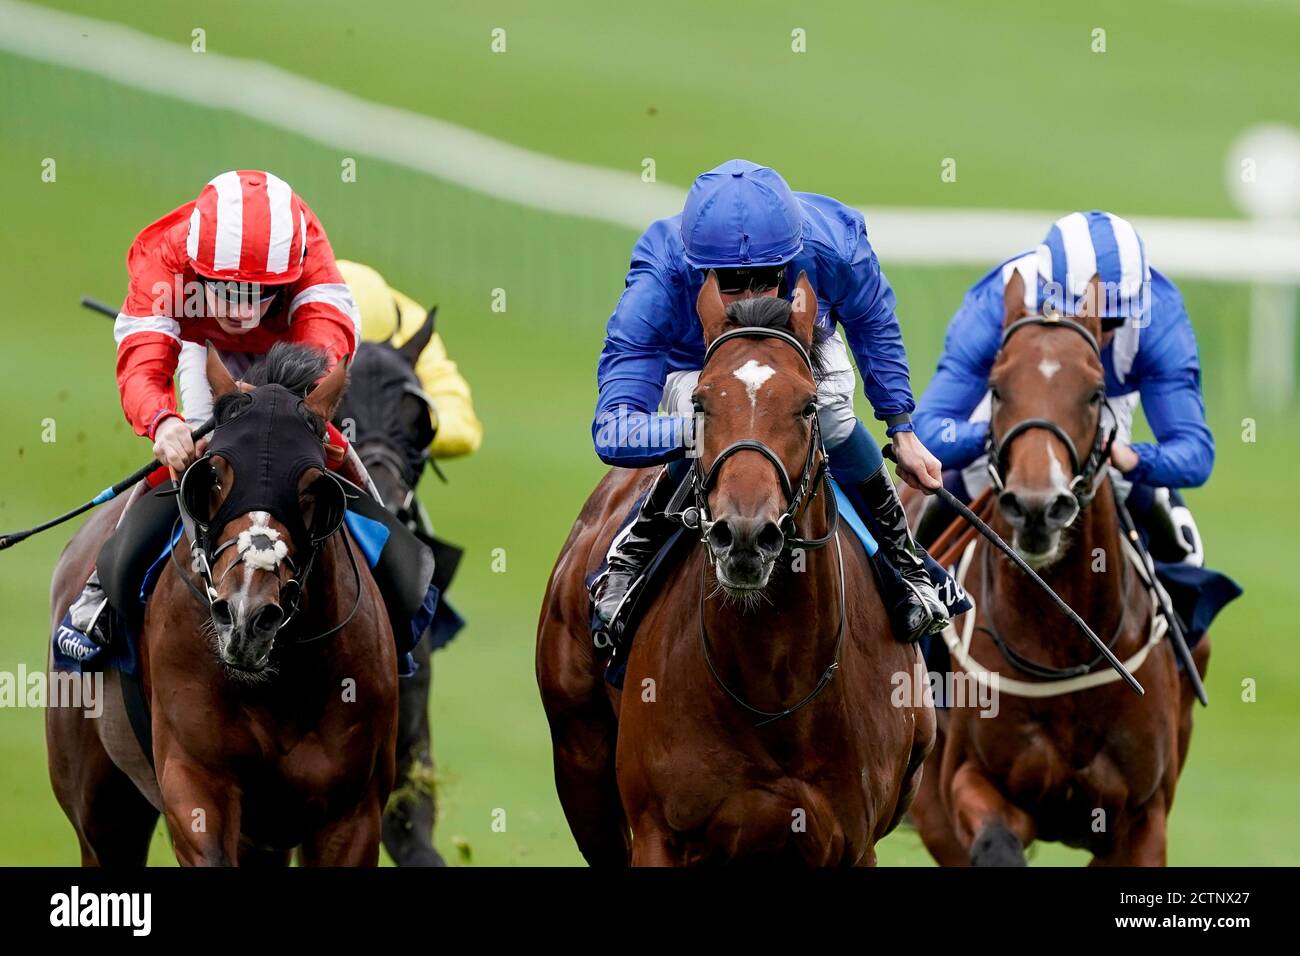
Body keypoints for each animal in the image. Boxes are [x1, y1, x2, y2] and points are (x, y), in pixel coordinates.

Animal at [48, 348, 395, 868]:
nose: (247, 617)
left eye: (314, 486)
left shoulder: (352, 814)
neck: (279, 688)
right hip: (102, 811)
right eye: (211, 475)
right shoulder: (194, 779)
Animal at [538, 274, 935, 868]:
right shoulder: (659, 833)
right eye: (700, 404)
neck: (777, 686)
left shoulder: (852, 843)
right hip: (580, 765)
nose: (745, 535)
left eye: (807, 406)